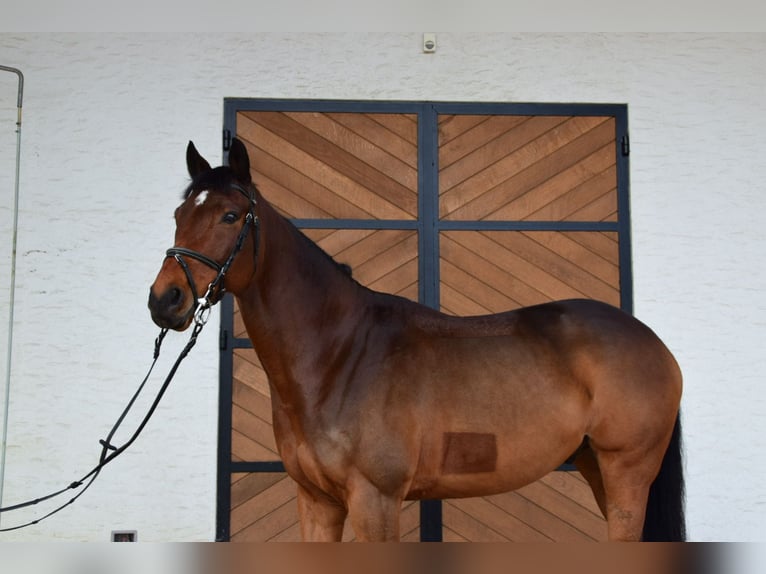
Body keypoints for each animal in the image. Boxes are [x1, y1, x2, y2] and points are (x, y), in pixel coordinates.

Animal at [148, 138, 685, 542]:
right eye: (178, 213)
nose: (165, 300)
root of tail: (656, 344)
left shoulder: (375, 501)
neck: (338, 357)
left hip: (625, 472)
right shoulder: (317, 503)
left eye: (231, 215)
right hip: (595, 466)